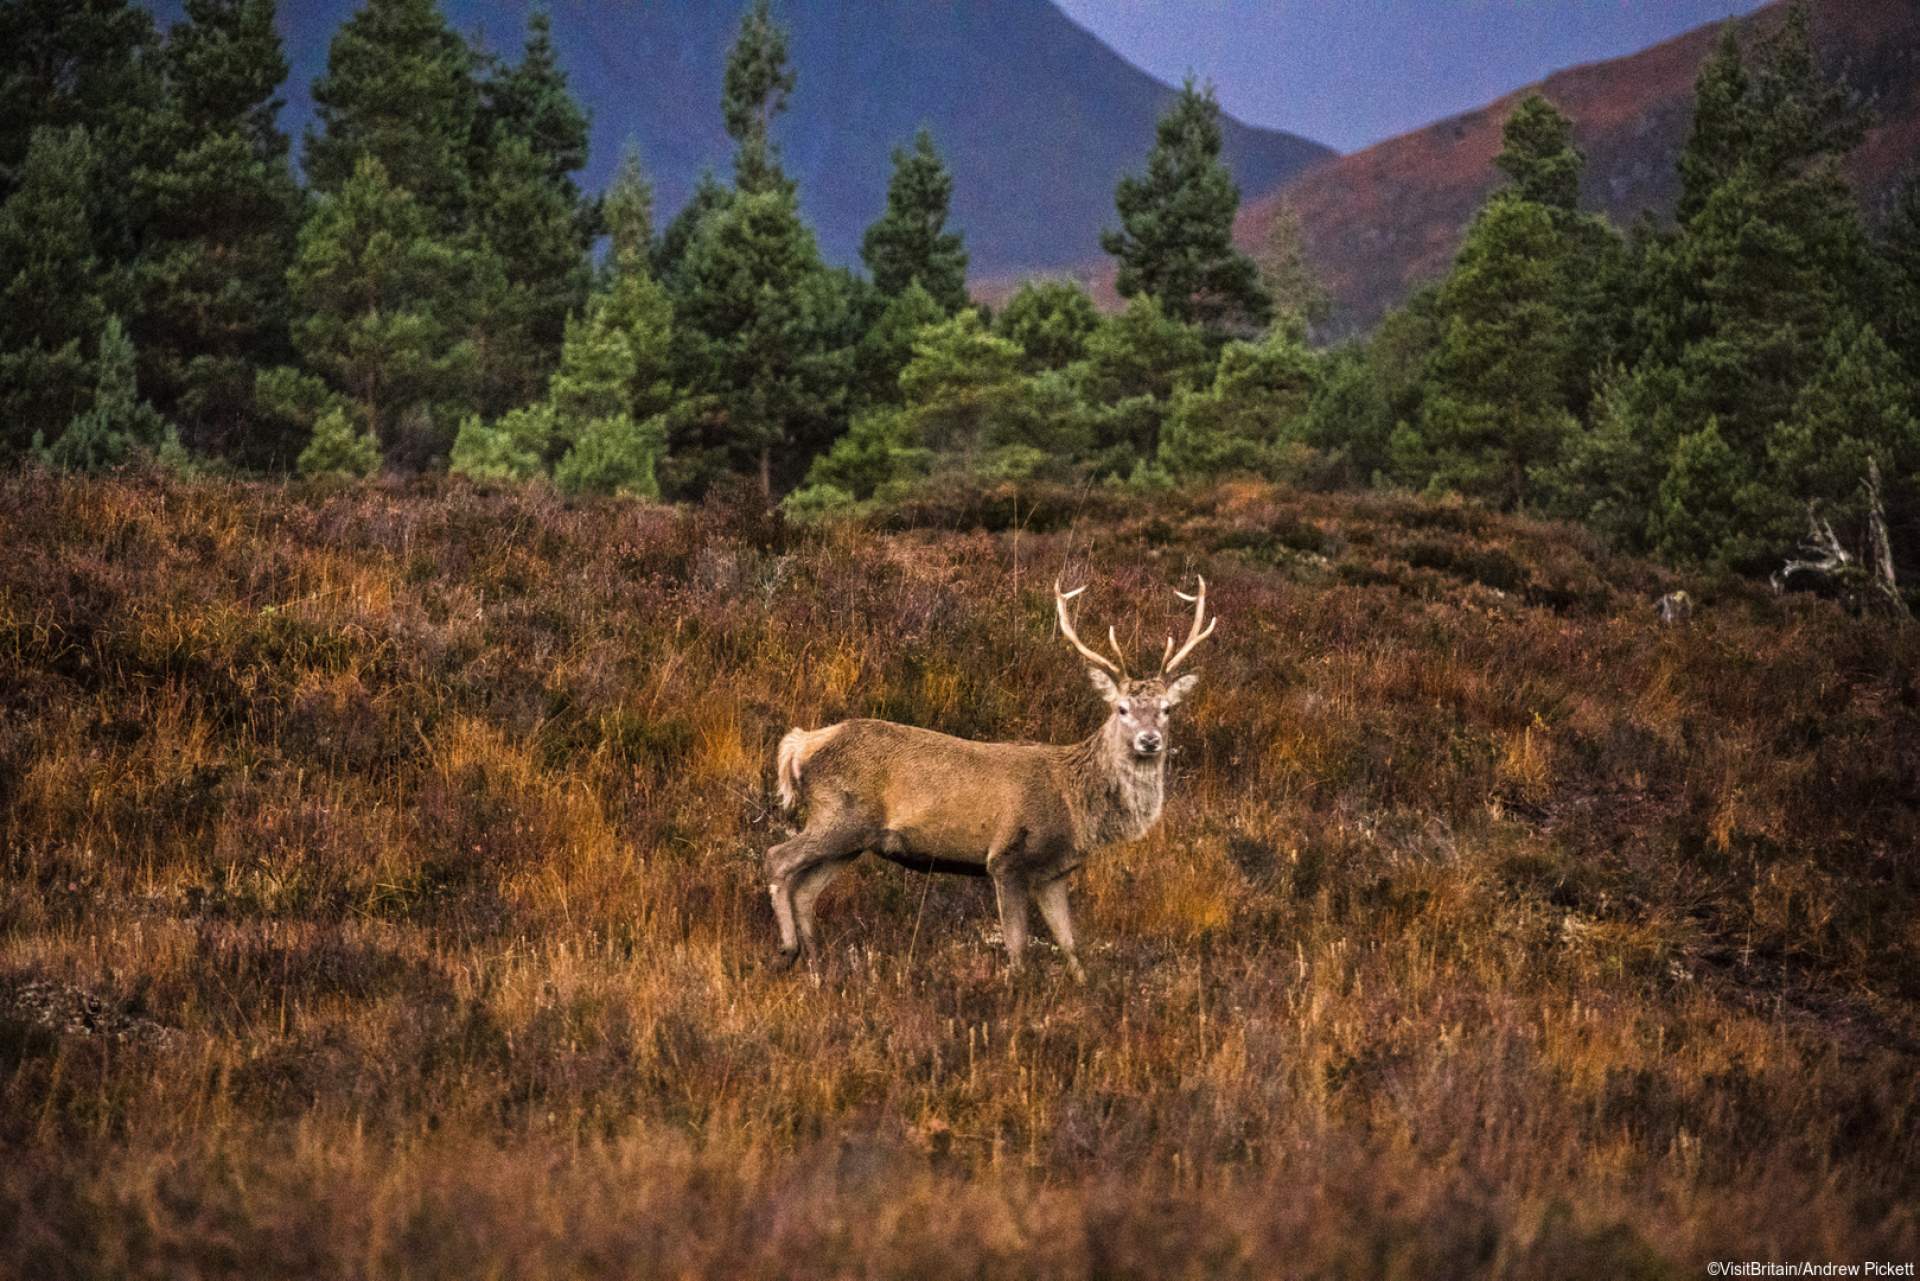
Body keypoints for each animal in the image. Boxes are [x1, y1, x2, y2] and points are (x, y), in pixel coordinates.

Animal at [765, 577, 1218, 982]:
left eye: (1167, 709)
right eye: (1121, 708)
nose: (1149, 740)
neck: (1076, 804)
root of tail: (800, 744)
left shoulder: (1054, 873)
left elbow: (1072, 947)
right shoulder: (1006, 858)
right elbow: (1018, 950)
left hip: (854, 840)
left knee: (805, 889)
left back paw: (816, 965)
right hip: (839, 816)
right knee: (777, 858)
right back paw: (787, 949)